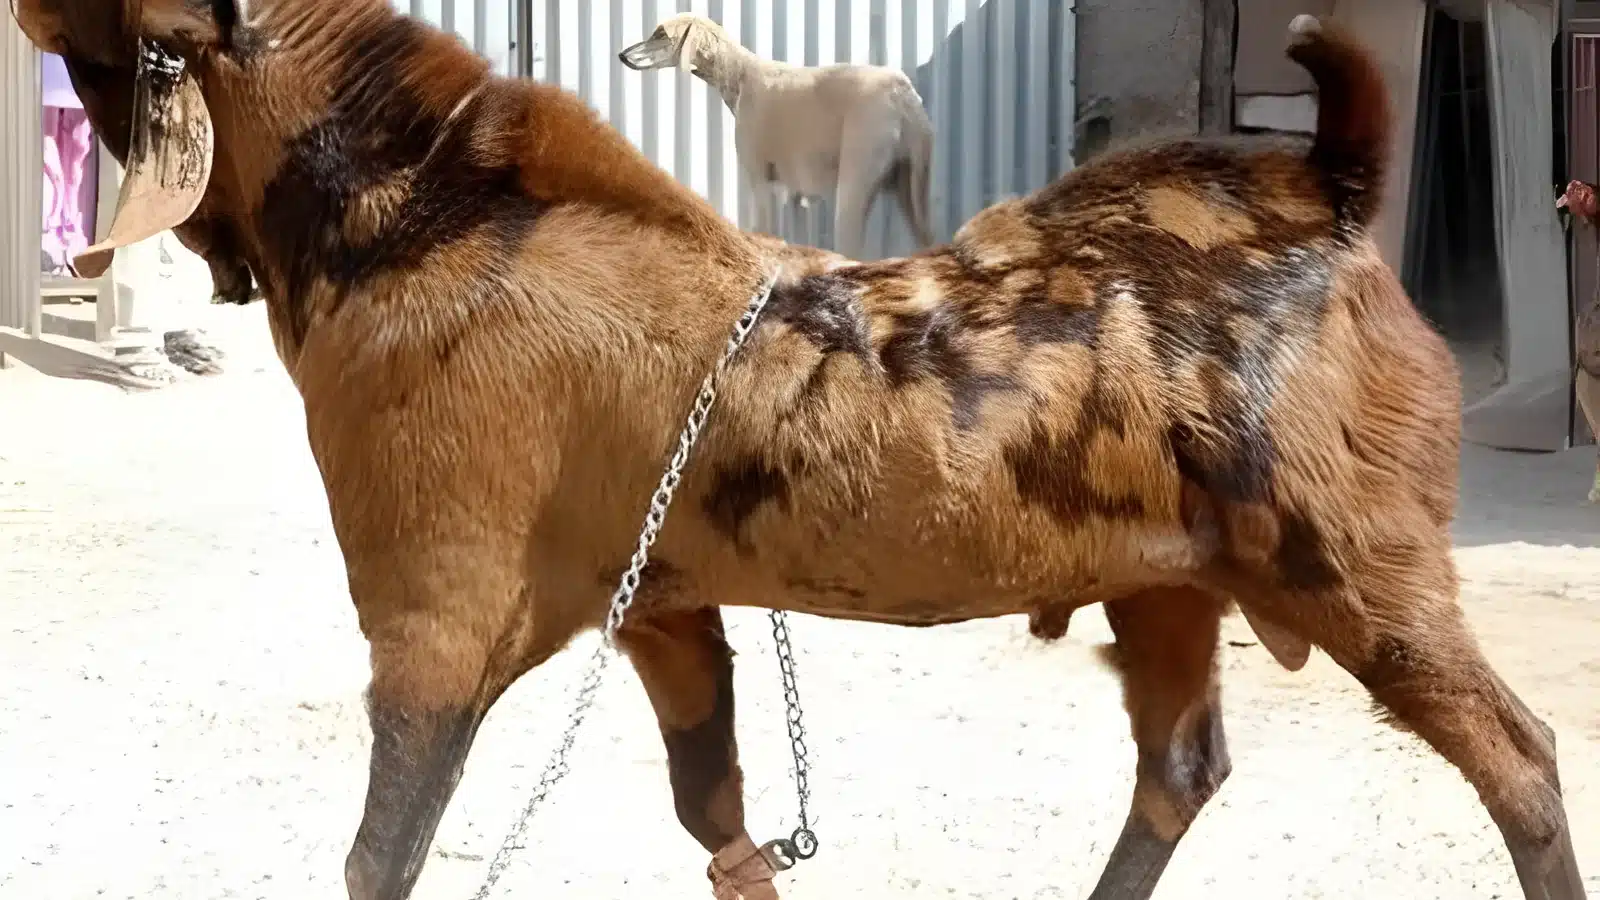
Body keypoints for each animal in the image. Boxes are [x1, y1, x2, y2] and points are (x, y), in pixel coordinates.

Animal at [619, 12, 936, 259]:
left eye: (661, 34)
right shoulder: (793, 191)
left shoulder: (762, 182)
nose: (622, 55)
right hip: (913, 187)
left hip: (855, 180)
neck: (740, 74)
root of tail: (902, 92)